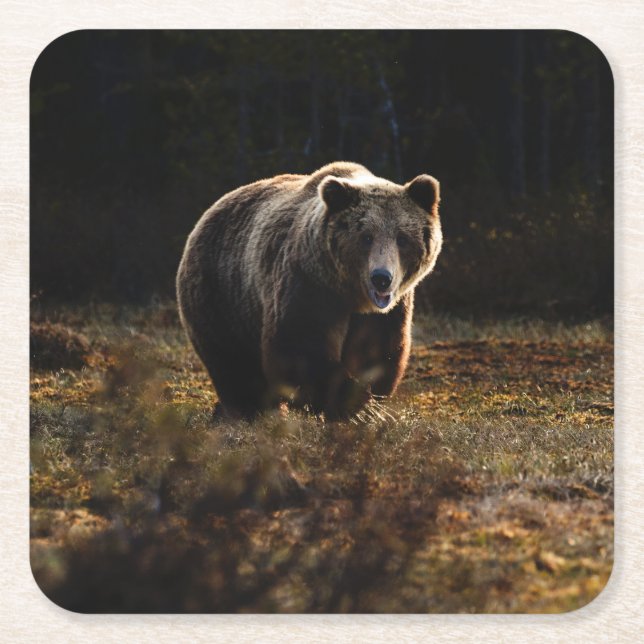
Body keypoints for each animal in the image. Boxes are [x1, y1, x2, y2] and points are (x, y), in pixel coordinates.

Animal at [176, 161, 442, 420]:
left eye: (402, 238)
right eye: (366, 237)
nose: (381, 279)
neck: (350, 294)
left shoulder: (387, 311)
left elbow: (377, 350)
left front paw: (367, 403)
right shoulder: (308, 285)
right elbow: (299, 347)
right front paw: (353, 404)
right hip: (222, 294)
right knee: (233, 362)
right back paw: (249, 410)